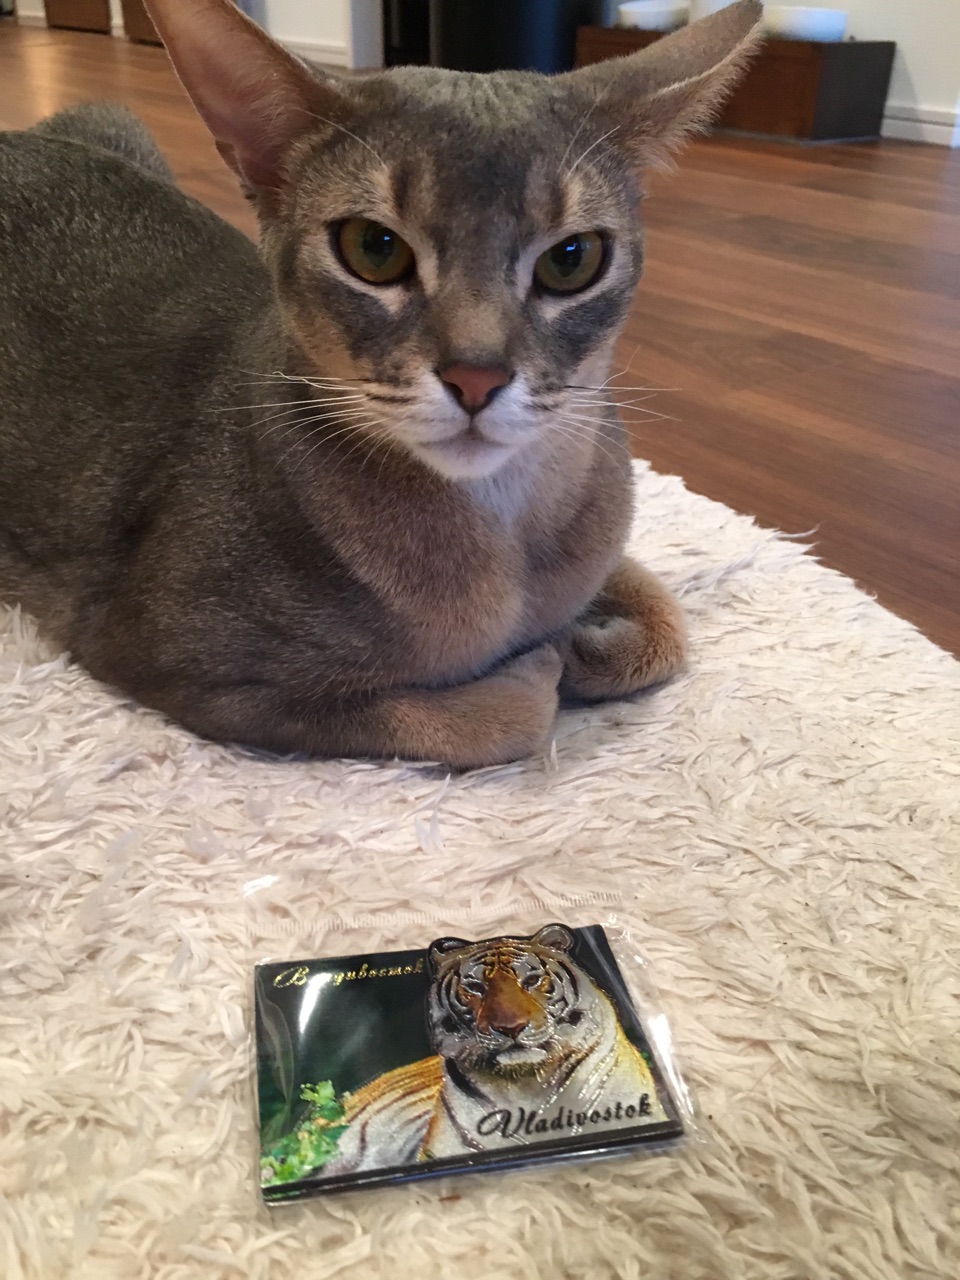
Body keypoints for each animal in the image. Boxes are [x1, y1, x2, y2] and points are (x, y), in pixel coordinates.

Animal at [0, 0, 762, 767]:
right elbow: (498, 718)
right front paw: (547, 661)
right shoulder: (178, 665)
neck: (509, 547)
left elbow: (667, 621)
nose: (477, 375)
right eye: (374, 248)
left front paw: (586, 639)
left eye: (572, 259)